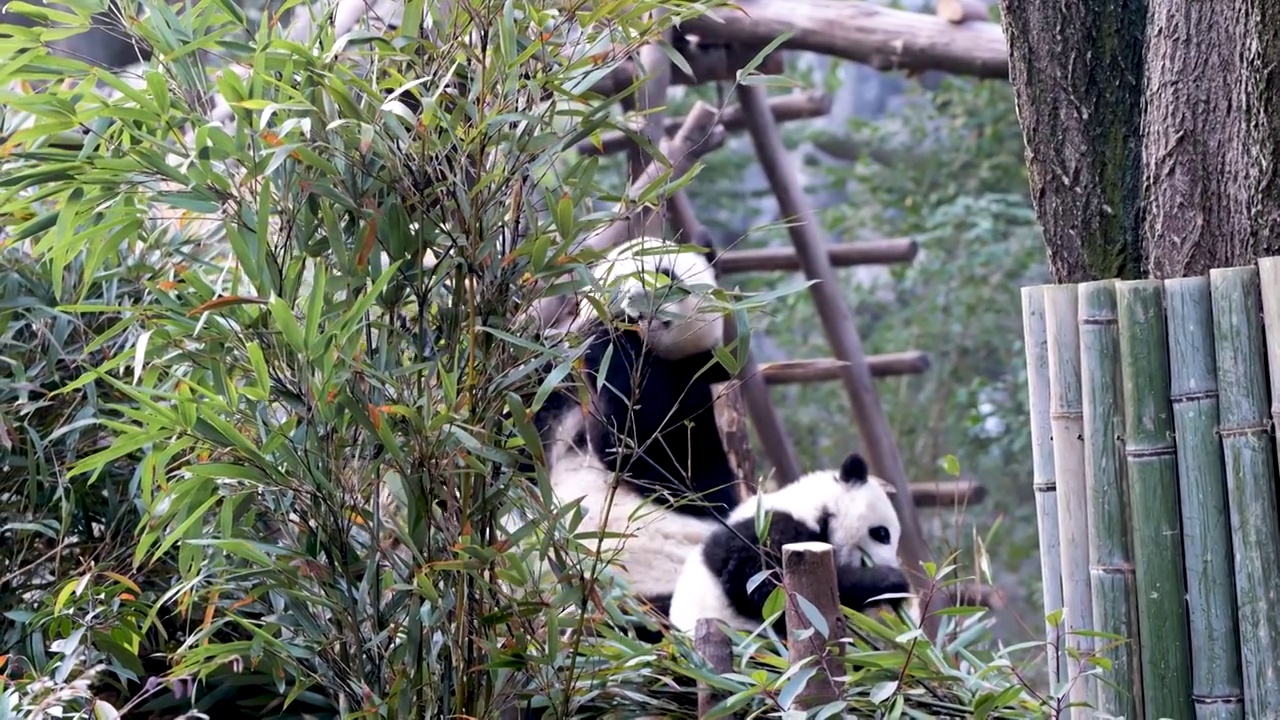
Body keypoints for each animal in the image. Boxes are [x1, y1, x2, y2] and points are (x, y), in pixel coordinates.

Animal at [670, 448, 921, 632]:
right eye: (882, 534)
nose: (888, 563)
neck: (812, 505)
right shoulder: (768, 531)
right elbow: (765, 587)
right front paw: (891, 581)